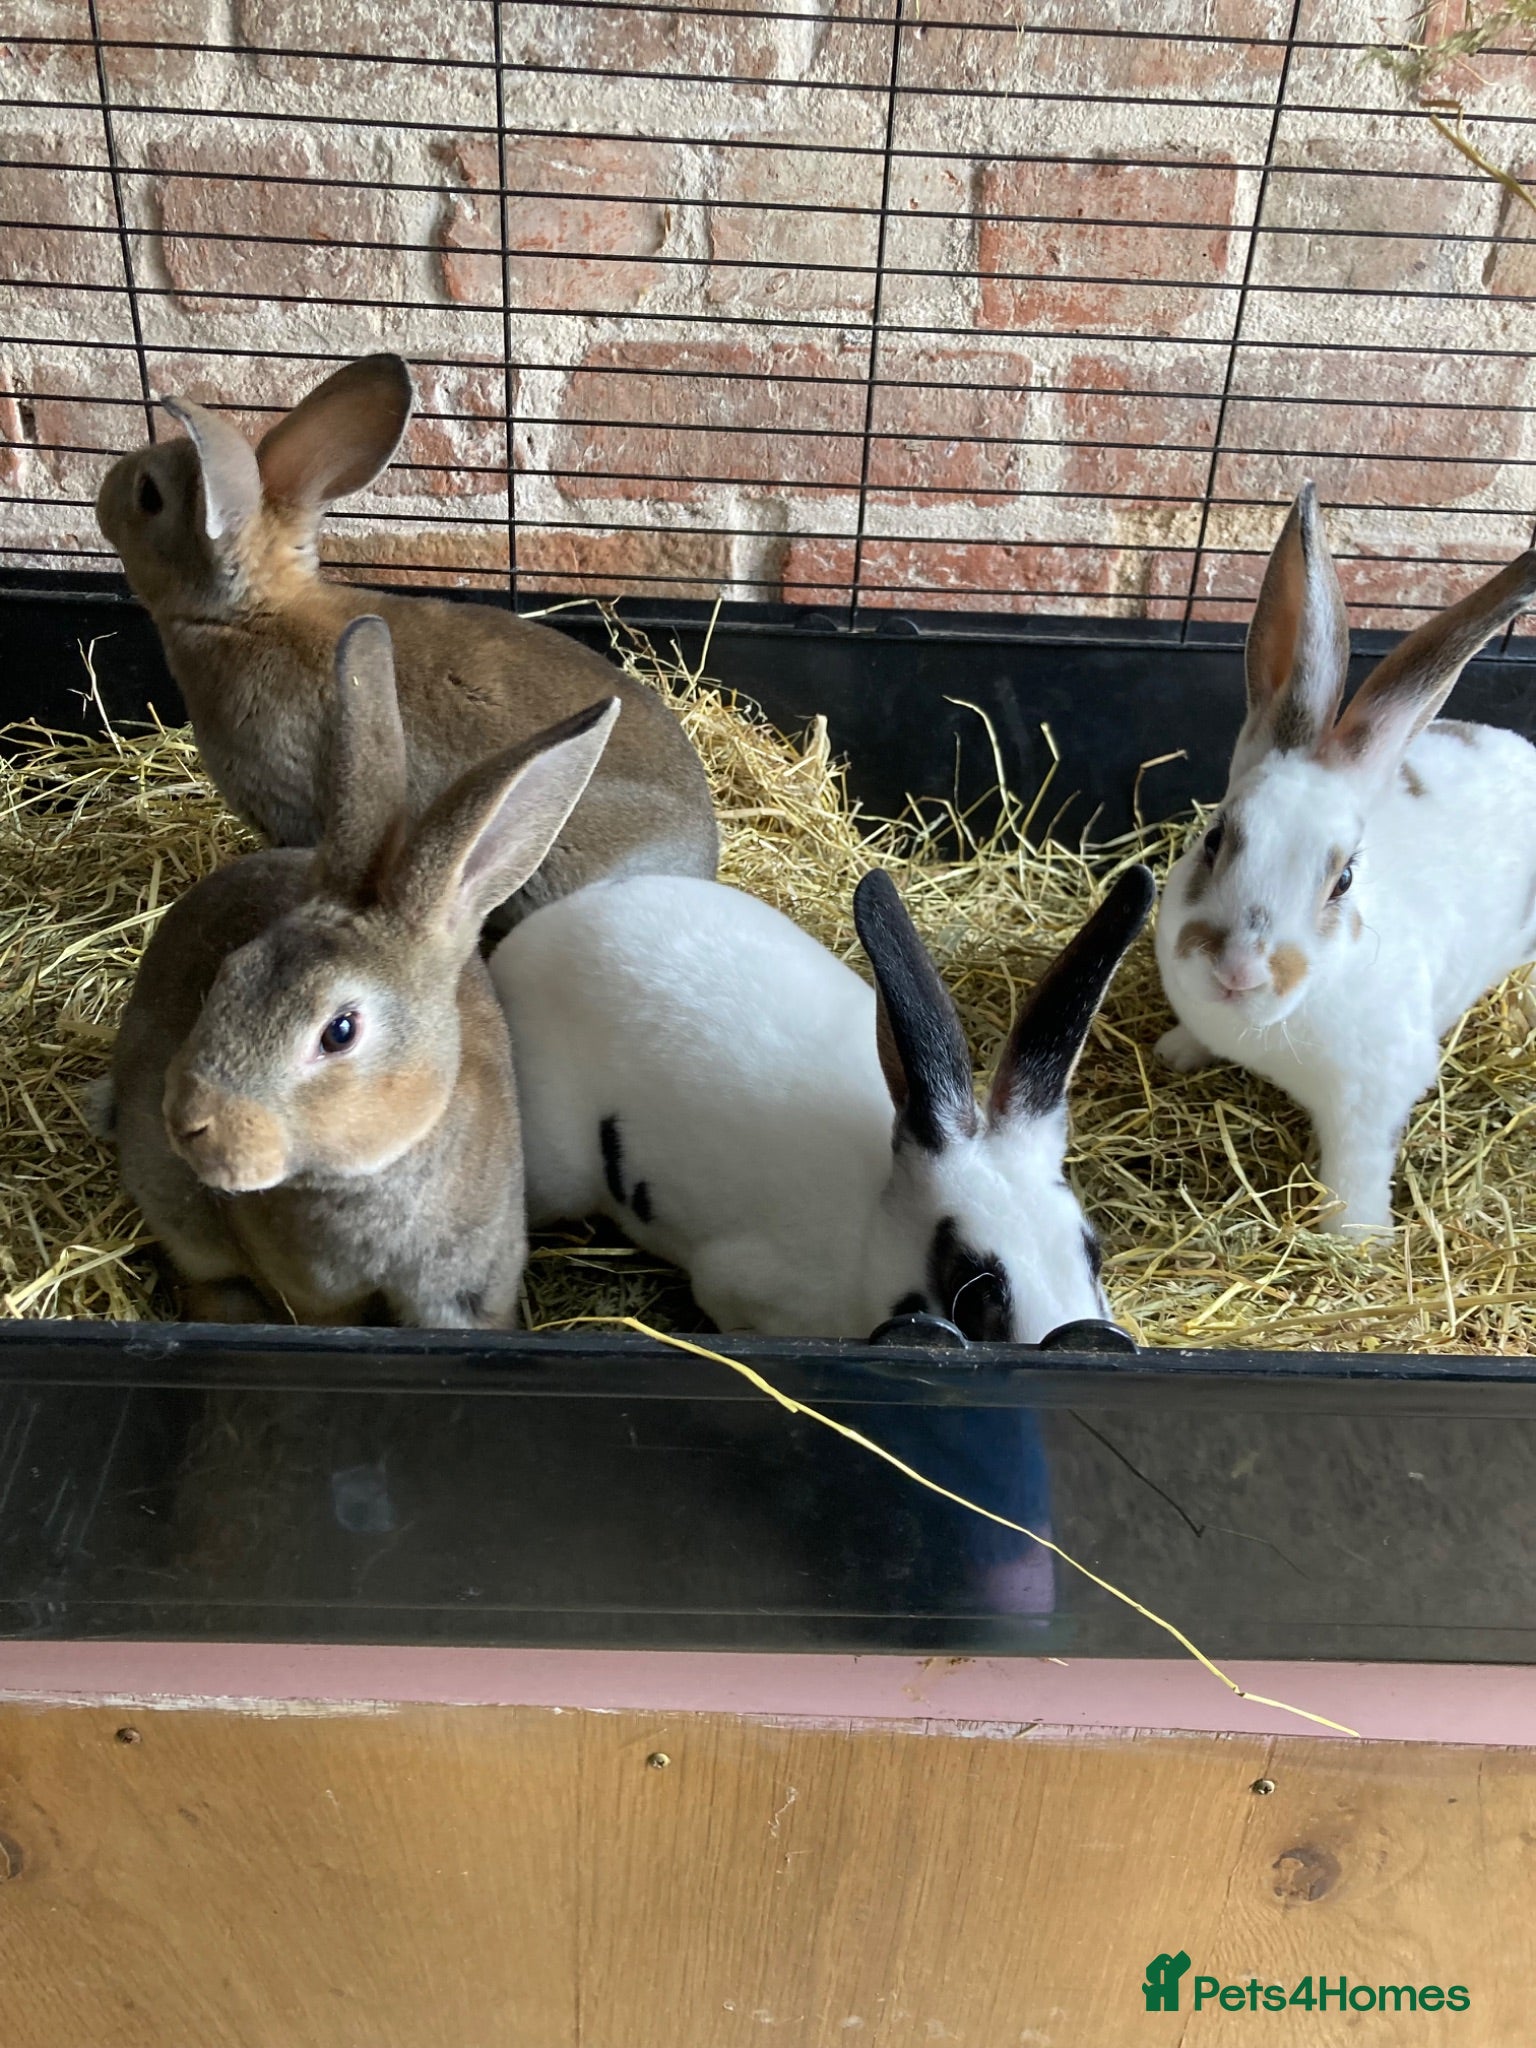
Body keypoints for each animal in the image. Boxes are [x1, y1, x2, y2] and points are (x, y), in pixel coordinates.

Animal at [1155, 482, 1536, 1237]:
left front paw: (1356, 1238)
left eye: (1344, 880)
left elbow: (1356, 1169)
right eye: (1215, 838)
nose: (1239, 972)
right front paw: (1175, 1053)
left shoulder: (1373, 1098)